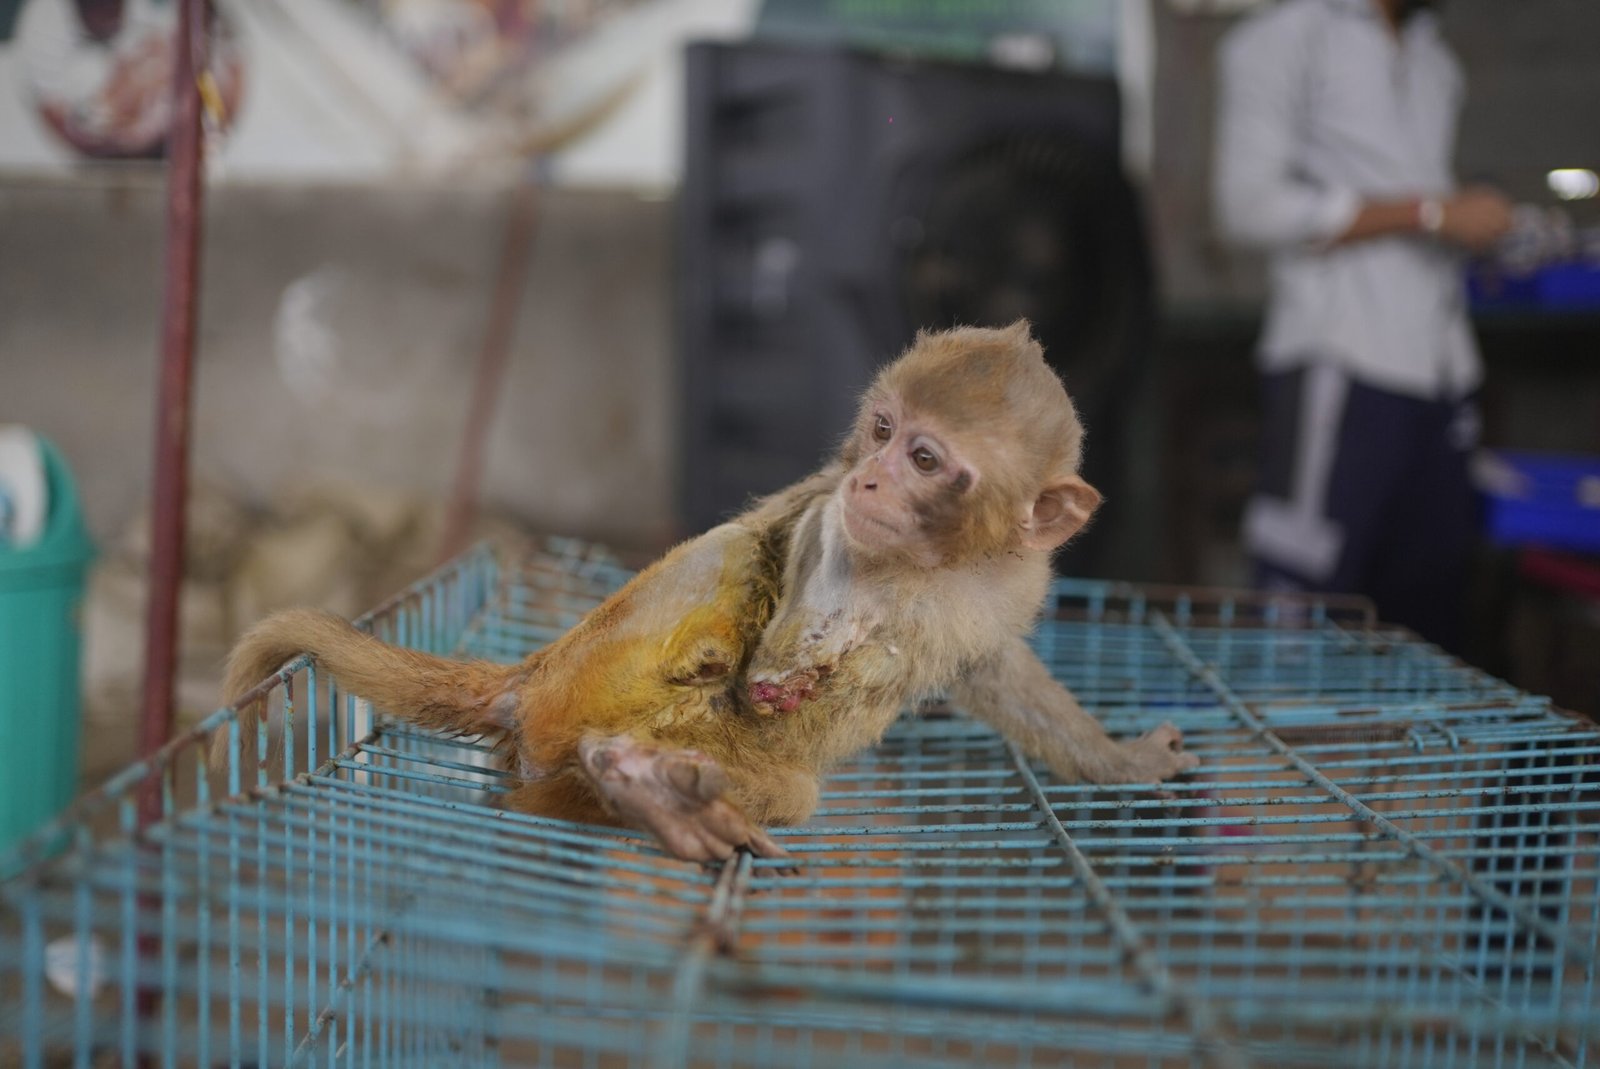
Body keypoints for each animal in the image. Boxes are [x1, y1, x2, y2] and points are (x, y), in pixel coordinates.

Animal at [219, 322, 1198, 864]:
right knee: (731, 574)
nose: (870, 481)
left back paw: (634, 790)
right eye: (883, 430)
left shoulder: (1009, 583)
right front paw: (782, 669)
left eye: (923, 458)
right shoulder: (830, 531)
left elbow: (995, 672)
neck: (935, 567)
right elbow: (782, 597)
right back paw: (649, 786)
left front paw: (1120, 761)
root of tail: (529, 678)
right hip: (592, 679)